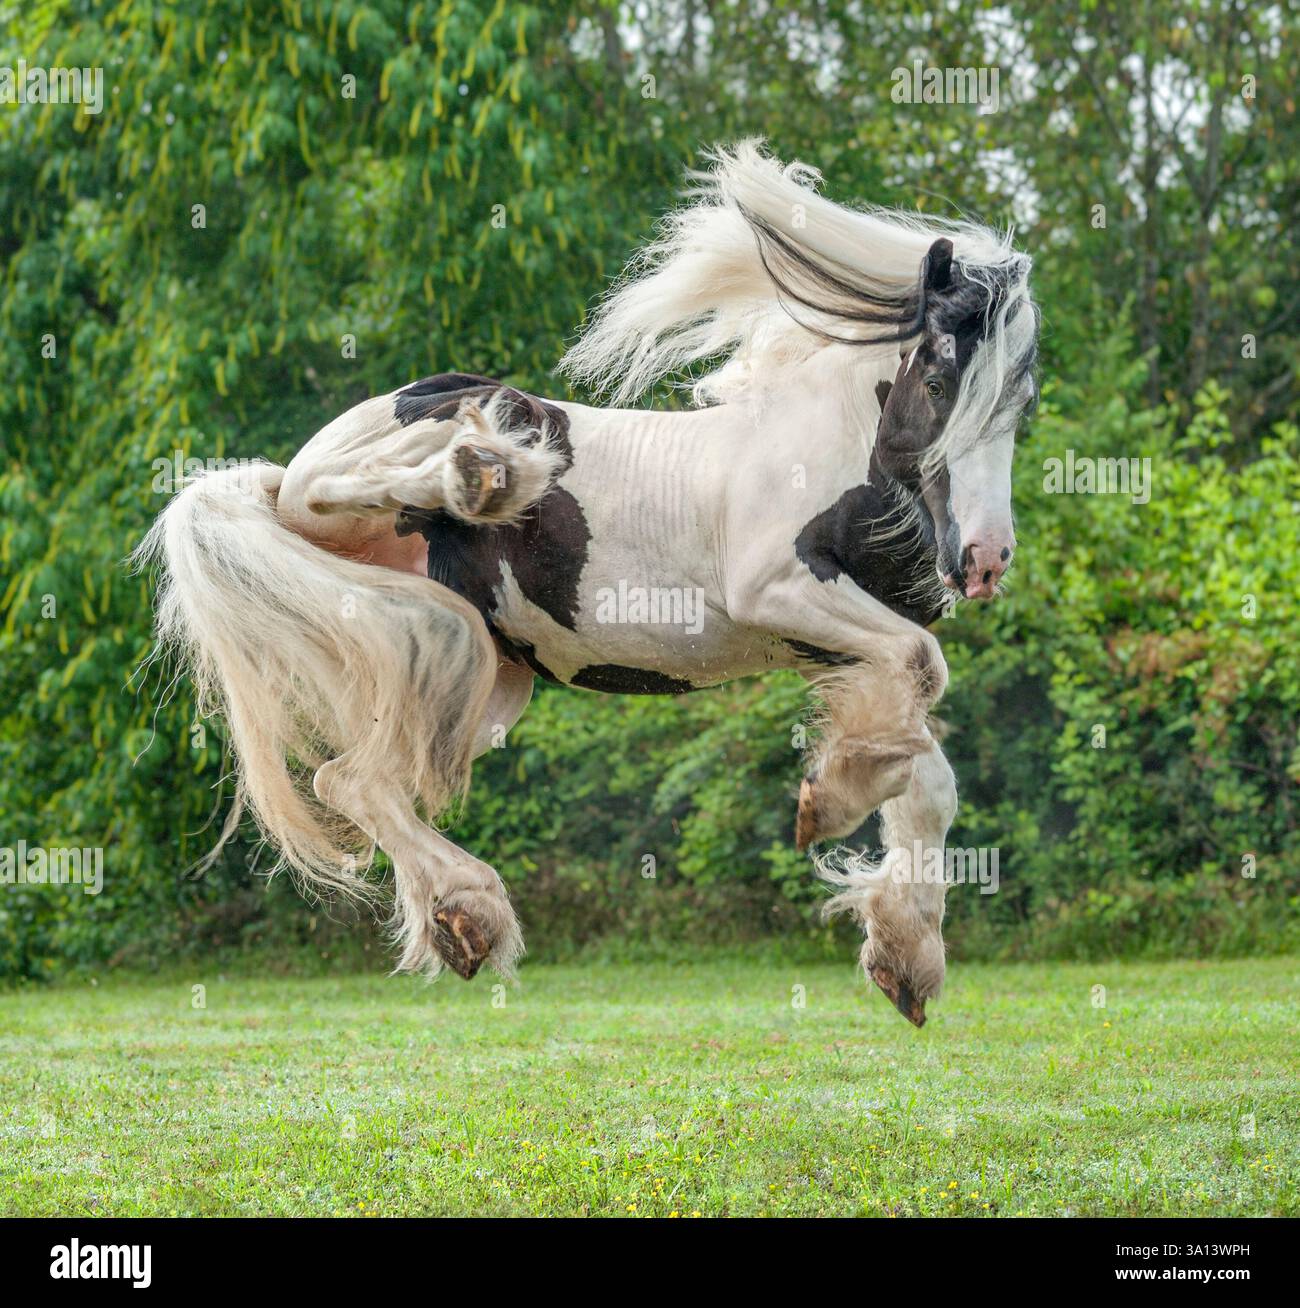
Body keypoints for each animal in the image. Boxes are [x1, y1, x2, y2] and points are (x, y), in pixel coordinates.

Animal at [138, 142, 1038, 1026]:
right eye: (936, 385)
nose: (984, 560)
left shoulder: (840, 647)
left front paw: (904, 954)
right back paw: (485, 472)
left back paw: (466, 917)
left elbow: (924, 770)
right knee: (342, 489)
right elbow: (922, 672)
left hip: (473, 673)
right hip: (376, 480)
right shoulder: (779, 590)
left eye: (1021, 405)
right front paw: (834, 803)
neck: (823, 444)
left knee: (353, 779)